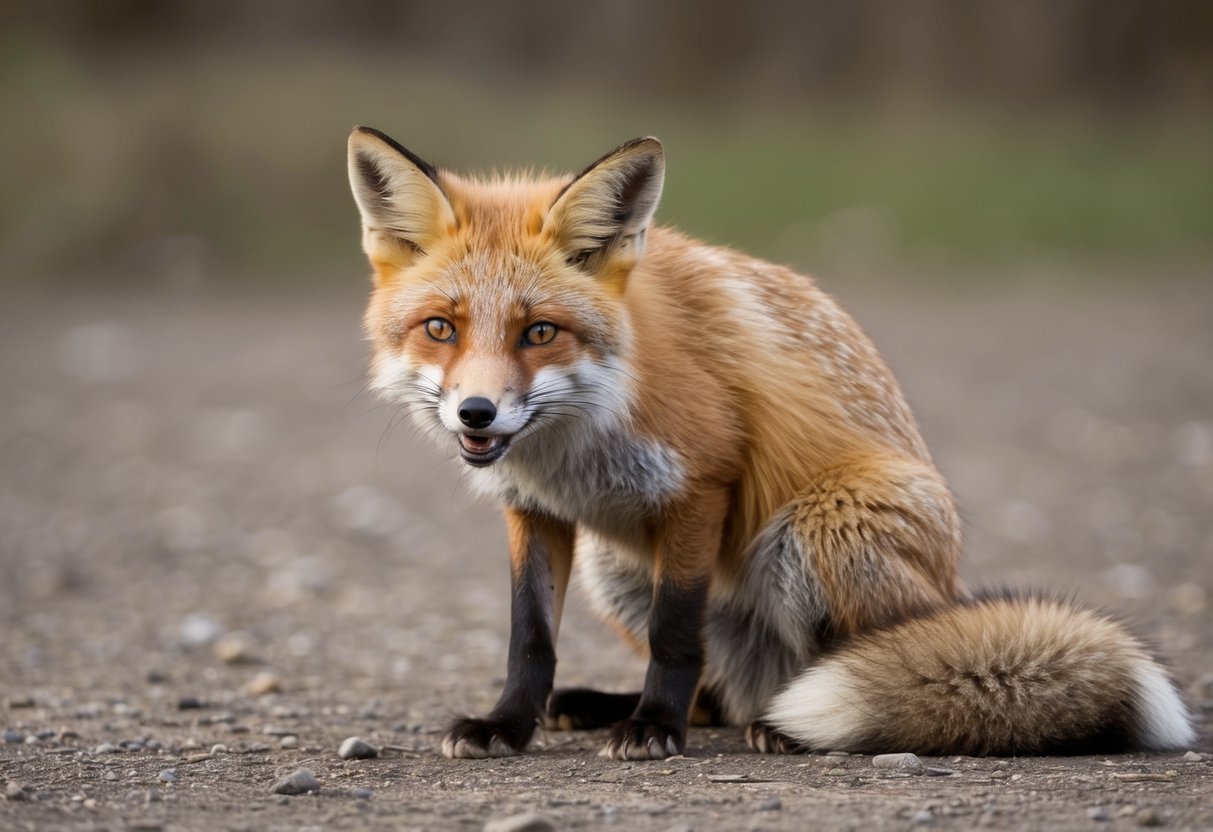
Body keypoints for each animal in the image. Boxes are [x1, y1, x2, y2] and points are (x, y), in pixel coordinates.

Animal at [346, 126, 1194, 761]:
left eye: (539, 332)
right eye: (440, 328)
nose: (476, 414)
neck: (575, 443)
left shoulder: (703, 481)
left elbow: (674, 634)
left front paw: (652, 727)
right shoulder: (534, 509)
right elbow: (530, 639)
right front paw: (508, 723)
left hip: (820, 525)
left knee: (842, 670)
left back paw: (784, 724)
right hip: (612, 566)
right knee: (717, 695)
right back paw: (613, 705)